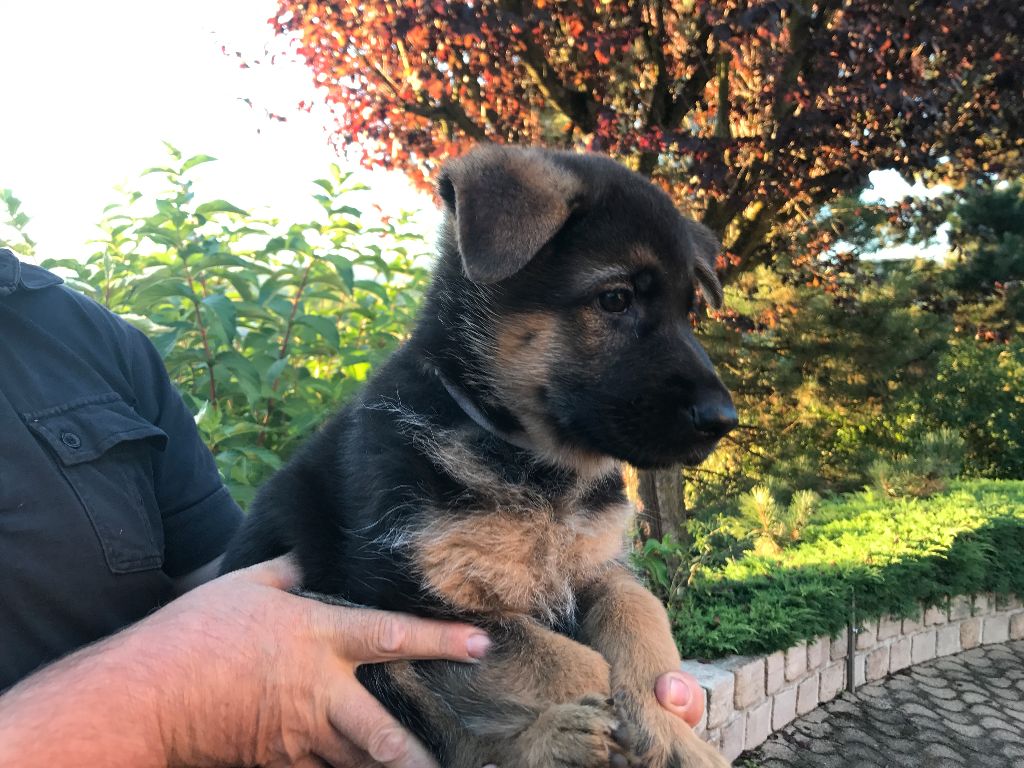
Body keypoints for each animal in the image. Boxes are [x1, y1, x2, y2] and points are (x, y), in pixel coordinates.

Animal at [221, 145, 736, 767]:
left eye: (690, 312)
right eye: (615, 299)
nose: (724, 421)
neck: (535, 466)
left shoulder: (602, 569)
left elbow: (640, 616)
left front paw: (673, 735)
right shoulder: (405, 594)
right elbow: (558, 655)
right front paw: (604, 713)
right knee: (460, 746)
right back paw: (556, 741)